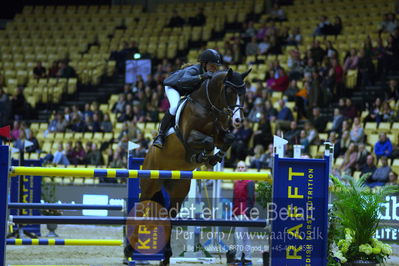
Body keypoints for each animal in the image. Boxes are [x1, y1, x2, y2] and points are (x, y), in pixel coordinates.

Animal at [126, 67, 250, 264]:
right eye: (230, 91)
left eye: (244, 92)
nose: (238, 120)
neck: (208, 107)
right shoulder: (189, 136)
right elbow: (207, 141)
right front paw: (203, 156)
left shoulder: (220, 134)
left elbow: (228, 138)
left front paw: (213, 157)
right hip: (149, 185)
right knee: (141, 209)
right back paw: (130, 249)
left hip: (179, 189)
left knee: (168, 216)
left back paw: (166, 256)